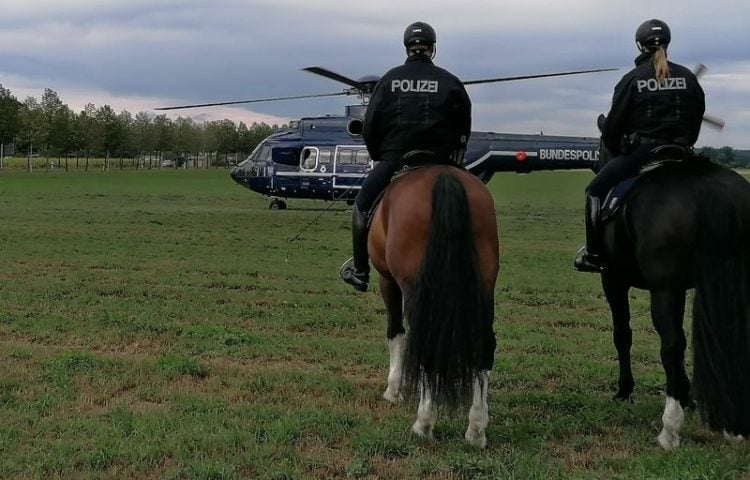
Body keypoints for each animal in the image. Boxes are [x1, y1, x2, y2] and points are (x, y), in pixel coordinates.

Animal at [368, 163, 502, 448]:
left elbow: (395, 333)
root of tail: (445, 177)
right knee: (484, 348)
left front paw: (393, 390)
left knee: (426, 346)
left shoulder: (388, 281)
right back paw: (476, 430)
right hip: (483, 290)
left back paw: (424, 423)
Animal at [600, 157, 750, 450]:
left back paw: (669, 429)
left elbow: (622, 335)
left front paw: (625, 390)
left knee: (671, 346)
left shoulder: (613, 279)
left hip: (663, 289)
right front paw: (686, 395)